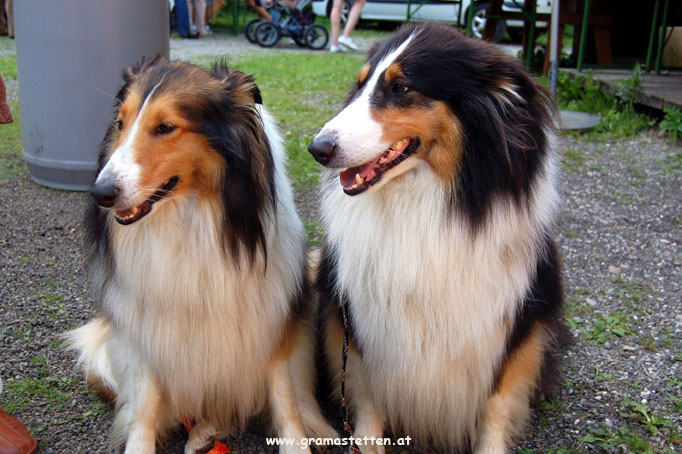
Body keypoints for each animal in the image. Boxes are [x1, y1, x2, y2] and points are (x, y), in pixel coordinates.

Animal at [65, 57, 335, 453]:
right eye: (120, 123)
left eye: (165, 127)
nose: (100, 193)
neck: (191, 216)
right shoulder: (146, 331)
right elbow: (145, 404)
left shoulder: (274, 321)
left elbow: (285, 398)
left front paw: (296, 444)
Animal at [308, 23, 567, 453]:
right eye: (360, 86)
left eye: (400, 87)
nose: (317, 149)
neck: (423, 201)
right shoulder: (356, 321)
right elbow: (367, 393)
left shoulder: (517, 321)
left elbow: (497, 403)